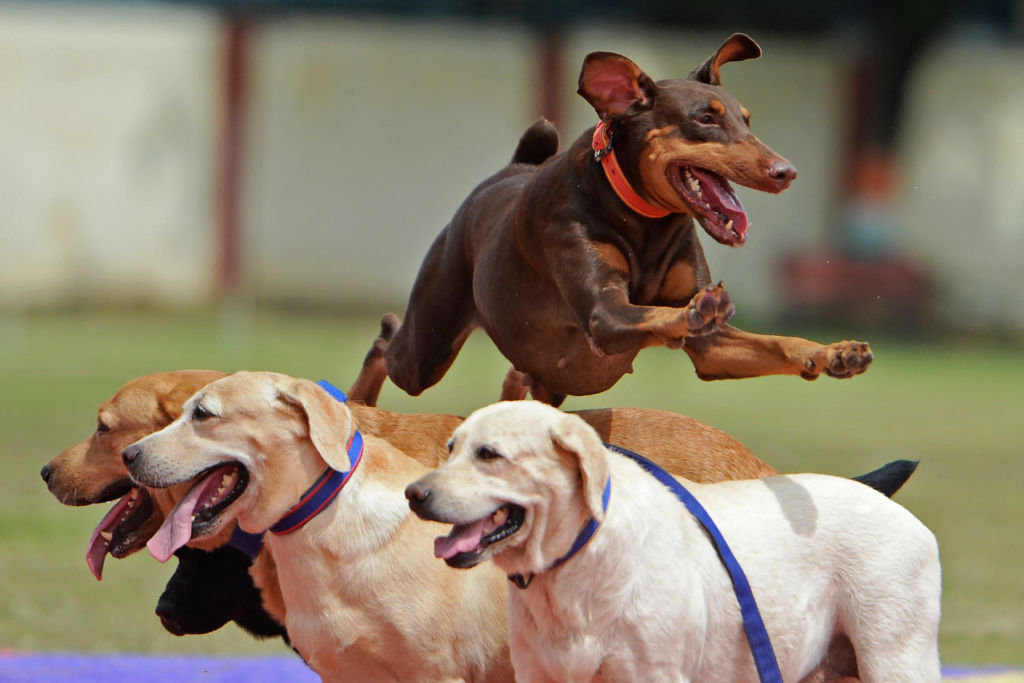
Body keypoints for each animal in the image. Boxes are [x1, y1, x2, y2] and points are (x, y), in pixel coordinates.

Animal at [385, 34, 872, 405]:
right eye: (704, 118)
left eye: (746, 120)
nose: (786, 172)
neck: (646, 221)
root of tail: (510, 170)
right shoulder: (605, 312)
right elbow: (658, 313)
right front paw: (695, 313)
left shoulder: (712, 348)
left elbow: (773, 342)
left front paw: (835, 353)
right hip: (426, 347)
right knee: (387, 345)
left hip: (544, 380)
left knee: (514, 388)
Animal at [403, 401, 937, 683]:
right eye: (450, 449)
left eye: (490, 454)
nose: (414, 494)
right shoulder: (537, 674)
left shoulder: (653, 675)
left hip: (896, 660)